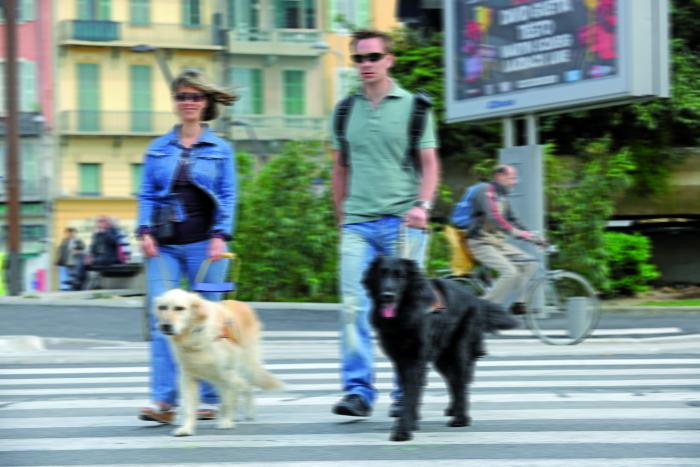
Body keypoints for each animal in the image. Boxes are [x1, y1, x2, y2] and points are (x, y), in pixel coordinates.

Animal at [364, 256, 516, 442]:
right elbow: (411, 391)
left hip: (458, 351)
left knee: (460, 382)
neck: (406, 312)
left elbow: (410, 393)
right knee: (453, 380)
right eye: (382, 273)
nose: (387, 296)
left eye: (401, 276)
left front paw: (403, 430)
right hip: (442, 357)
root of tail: (475, 297)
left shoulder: (415, 359)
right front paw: (412, 422)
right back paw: (453, 410)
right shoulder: (400, 359)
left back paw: (461, 418)